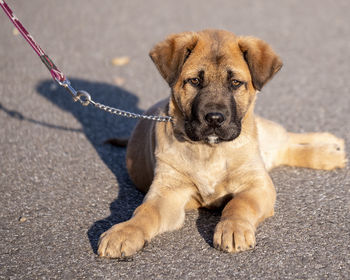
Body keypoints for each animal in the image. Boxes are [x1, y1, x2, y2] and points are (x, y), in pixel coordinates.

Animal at [97, 29, 346, 258]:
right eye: (194, 81)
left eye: (235, 82)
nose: (215, 118)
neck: (210, 150)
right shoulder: (168, 192)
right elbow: (145, 211)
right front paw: (125, 231)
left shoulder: (257, 184)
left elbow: (239, 204)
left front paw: (233, 228)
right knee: (284, 149)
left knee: (286, 140)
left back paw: (330, 148)